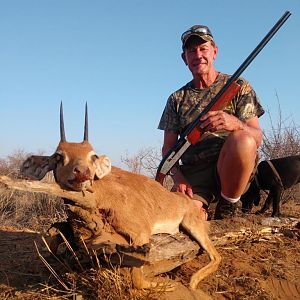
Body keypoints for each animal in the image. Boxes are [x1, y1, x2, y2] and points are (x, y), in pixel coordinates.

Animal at [19, 103, 219, 290]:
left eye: (93, 156)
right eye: (58, 156)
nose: (82, 173)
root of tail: (187, 201)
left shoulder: (141, 233)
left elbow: (137, 279)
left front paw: (163, 285)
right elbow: (53, 237)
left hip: (192, 225)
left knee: (216, 256)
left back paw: (192, 282)